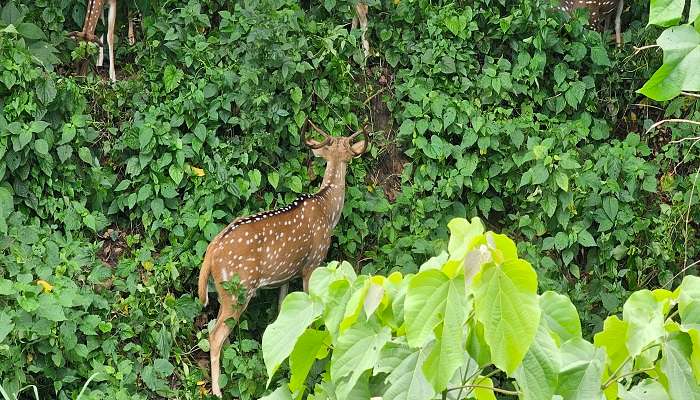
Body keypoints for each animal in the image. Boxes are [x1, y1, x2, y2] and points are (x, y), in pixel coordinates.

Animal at [197, 119, 370, 396]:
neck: (327, 210)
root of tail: (212, 250)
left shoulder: (285, 276)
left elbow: (283, 314)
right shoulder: (312, 263)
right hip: (238, 290)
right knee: (215, 335)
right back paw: (217, 391)